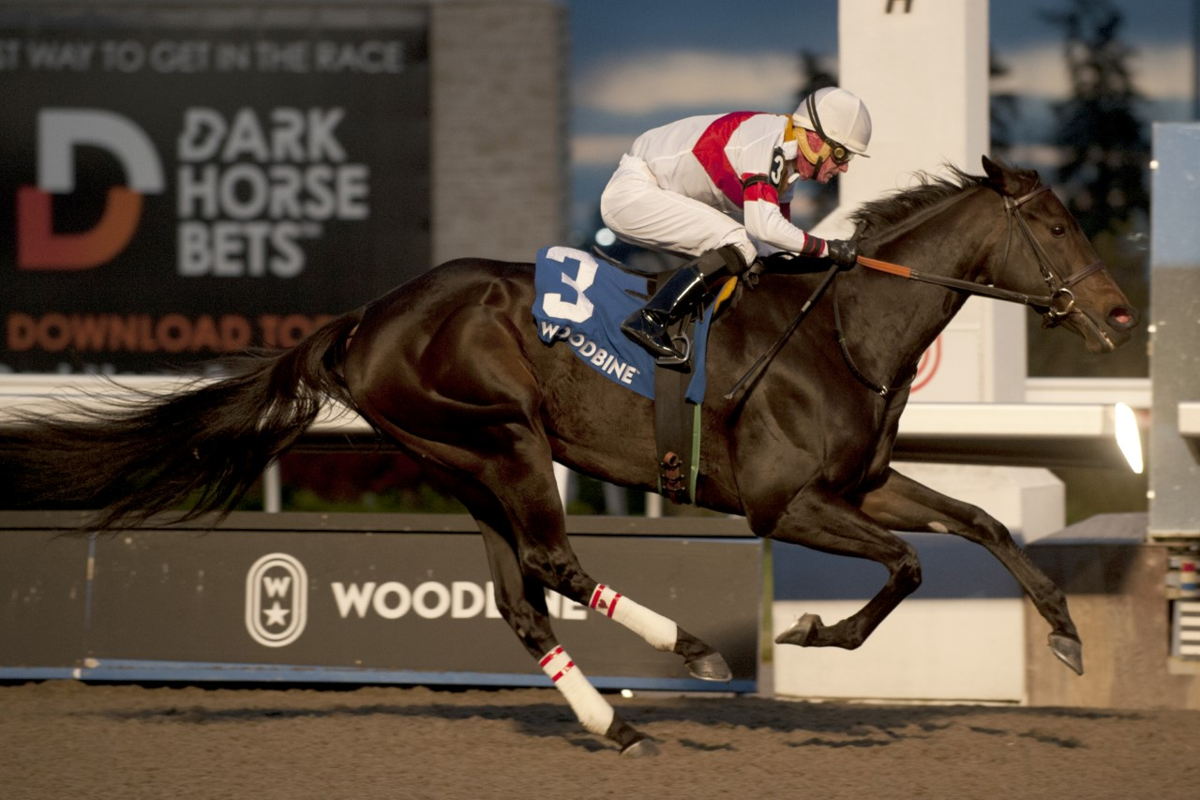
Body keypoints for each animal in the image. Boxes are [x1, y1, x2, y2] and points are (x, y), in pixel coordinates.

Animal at [0, 158, 1137, 758]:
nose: (1121, 311)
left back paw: (608, 718)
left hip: (464, 461)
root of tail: (363, 320)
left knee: (522, 597)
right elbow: (902, 569)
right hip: (503, 437)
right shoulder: (782, 503)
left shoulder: (863, 483)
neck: (843, 330)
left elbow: (980, 522)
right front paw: (813, 629)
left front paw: (1067, 631)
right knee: (553, 563)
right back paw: (691, 649)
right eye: (1055, 223)